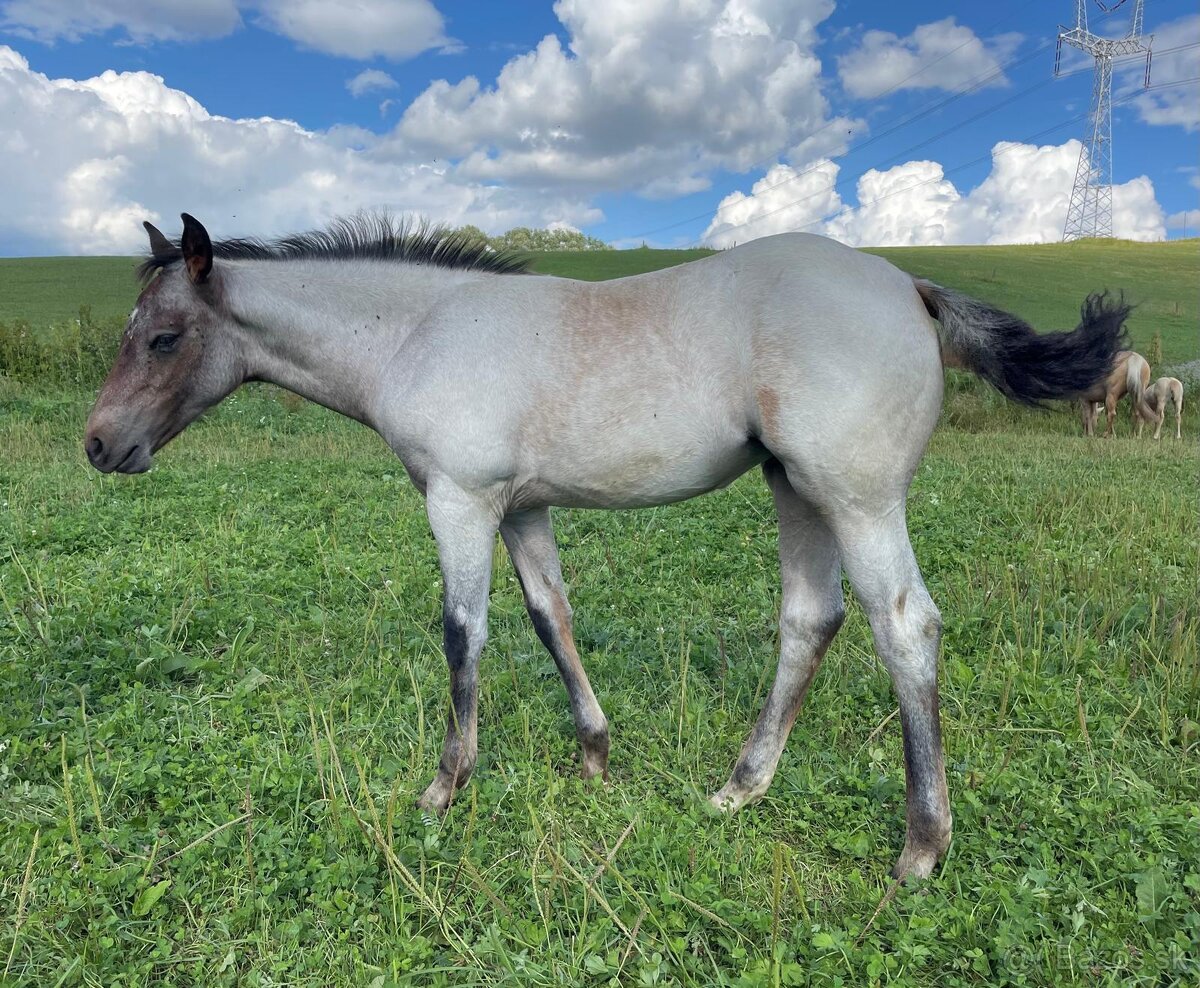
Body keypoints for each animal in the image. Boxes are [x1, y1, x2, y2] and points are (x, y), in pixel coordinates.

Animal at [84, 213, 1129, 881]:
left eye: (165, 337)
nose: (99, 445)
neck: (418, 331)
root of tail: (909, 285)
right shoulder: (519, 510)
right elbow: (550, 615)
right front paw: (594, 756)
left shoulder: (460, 502)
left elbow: (463, 634)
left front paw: (443, 788)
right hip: (795, 489)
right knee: (811, 619)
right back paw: (738, 790)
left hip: (857, 497)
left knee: (904, 628)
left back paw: (919, 847)